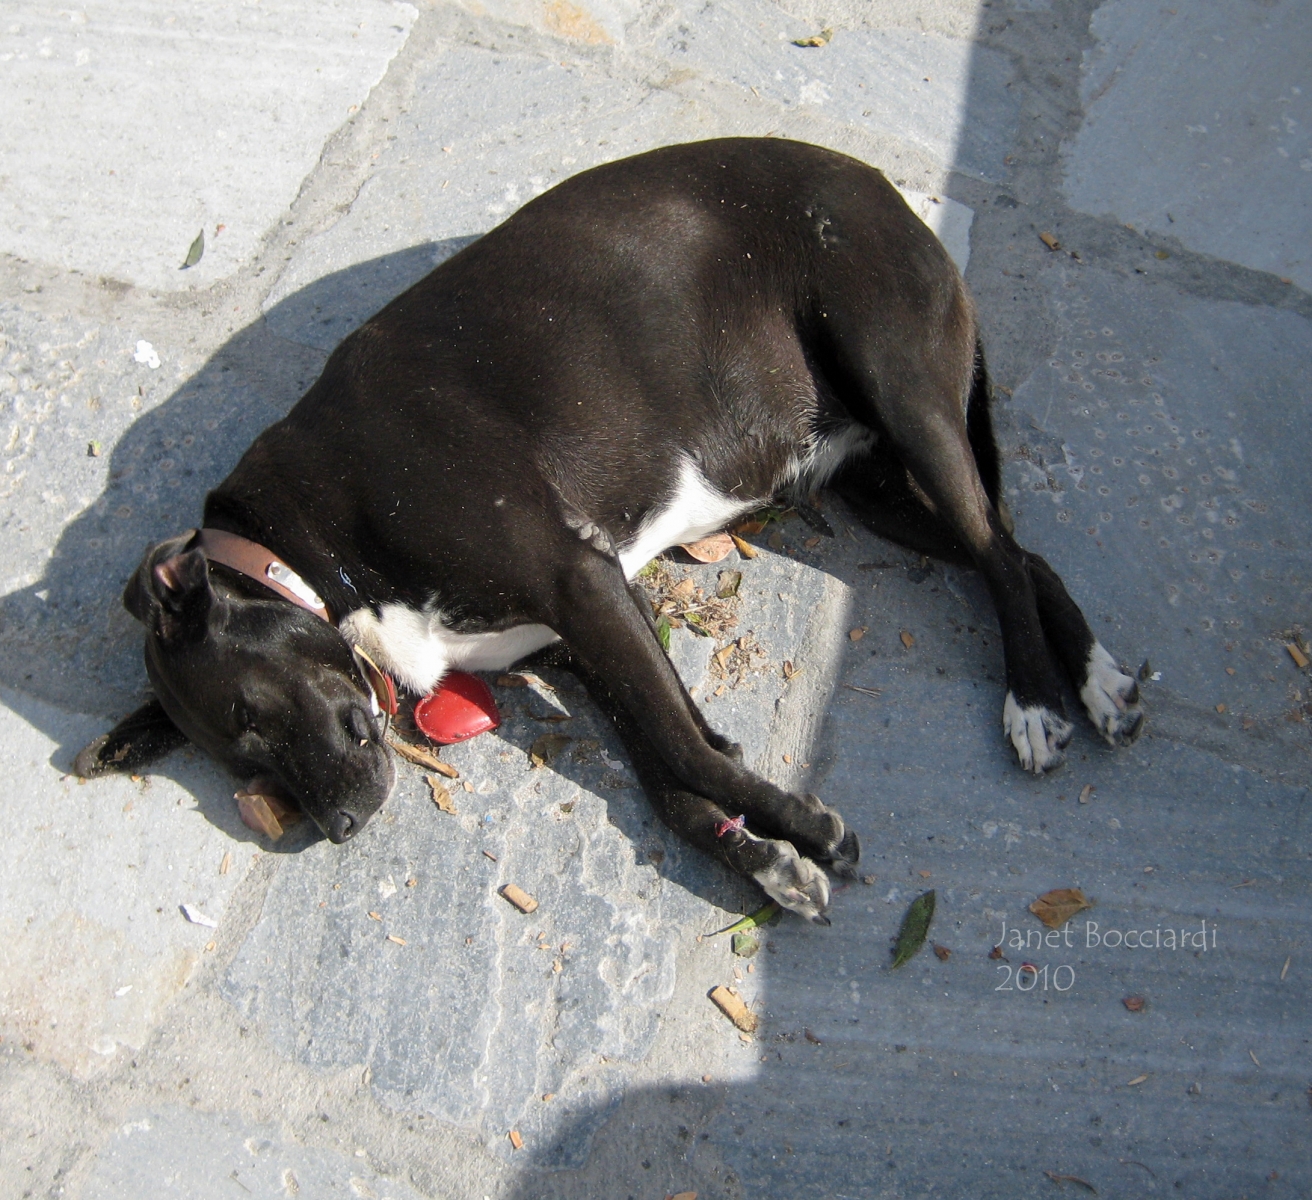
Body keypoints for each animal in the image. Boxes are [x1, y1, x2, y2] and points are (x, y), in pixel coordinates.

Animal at [76, 142, 1138, 928]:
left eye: (254, 716)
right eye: (243, 765)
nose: (334, 828)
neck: (304, 544)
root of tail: (883, 185)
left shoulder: (578, 582)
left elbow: (684, 750)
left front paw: (803, 826)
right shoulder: (585, 630)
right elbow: (674, 766)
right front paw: (761, 857)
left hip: (903, 387)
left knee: (1000, 557)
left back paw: (1037, 699)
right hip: (871, 486)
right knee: (1019, 551)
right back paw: (1095, 680)